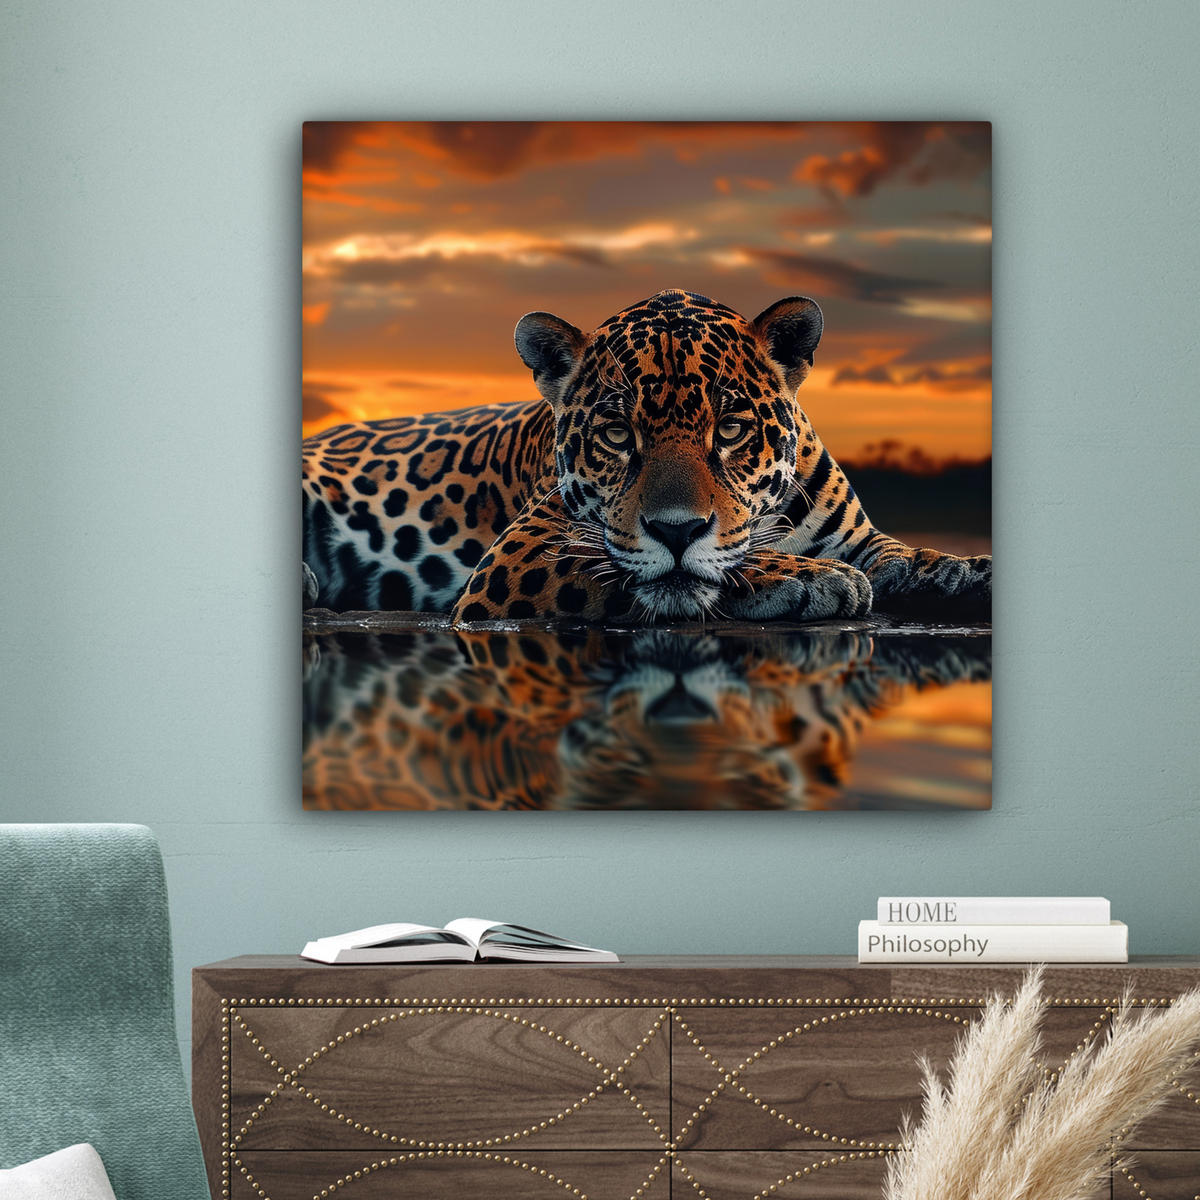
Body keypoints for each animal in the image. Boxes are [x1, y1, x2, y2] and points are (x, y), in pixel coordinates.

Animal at [303, 289, 991, 624]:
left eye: (730, 428)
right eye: (615, 434)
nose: (677, 531)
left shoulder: (861, 539)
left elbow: (910, 556)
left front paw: (968, 572)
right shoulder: (518, 557)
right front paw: (812, 579)